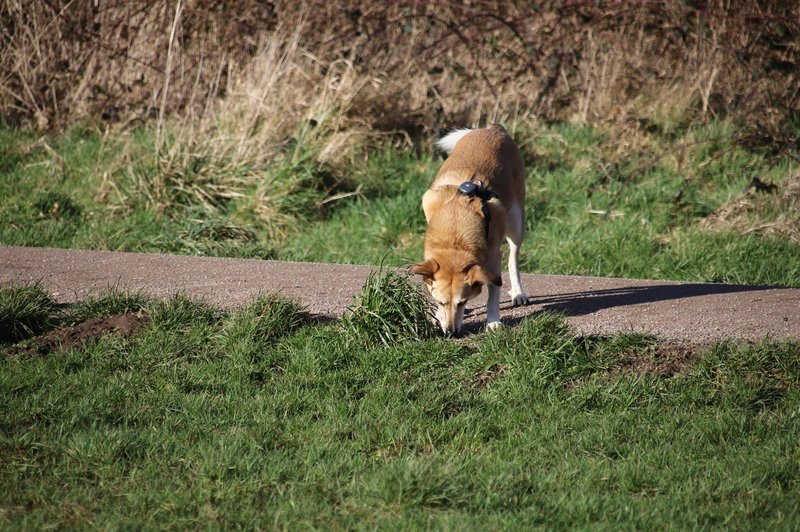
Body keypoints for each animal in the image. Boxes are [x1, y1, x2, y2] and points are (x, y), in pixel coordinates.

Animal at [410, 123, 528, 336]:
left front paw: (493, 321)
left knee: (513, 258)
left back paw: (518, 292)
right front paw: (439, 316)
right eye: (441, 302)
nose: (450, 332)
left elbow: (493, 291)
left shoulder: (493, 259)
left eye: (462, 302)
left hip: (516, 221)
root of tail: (493, 128)